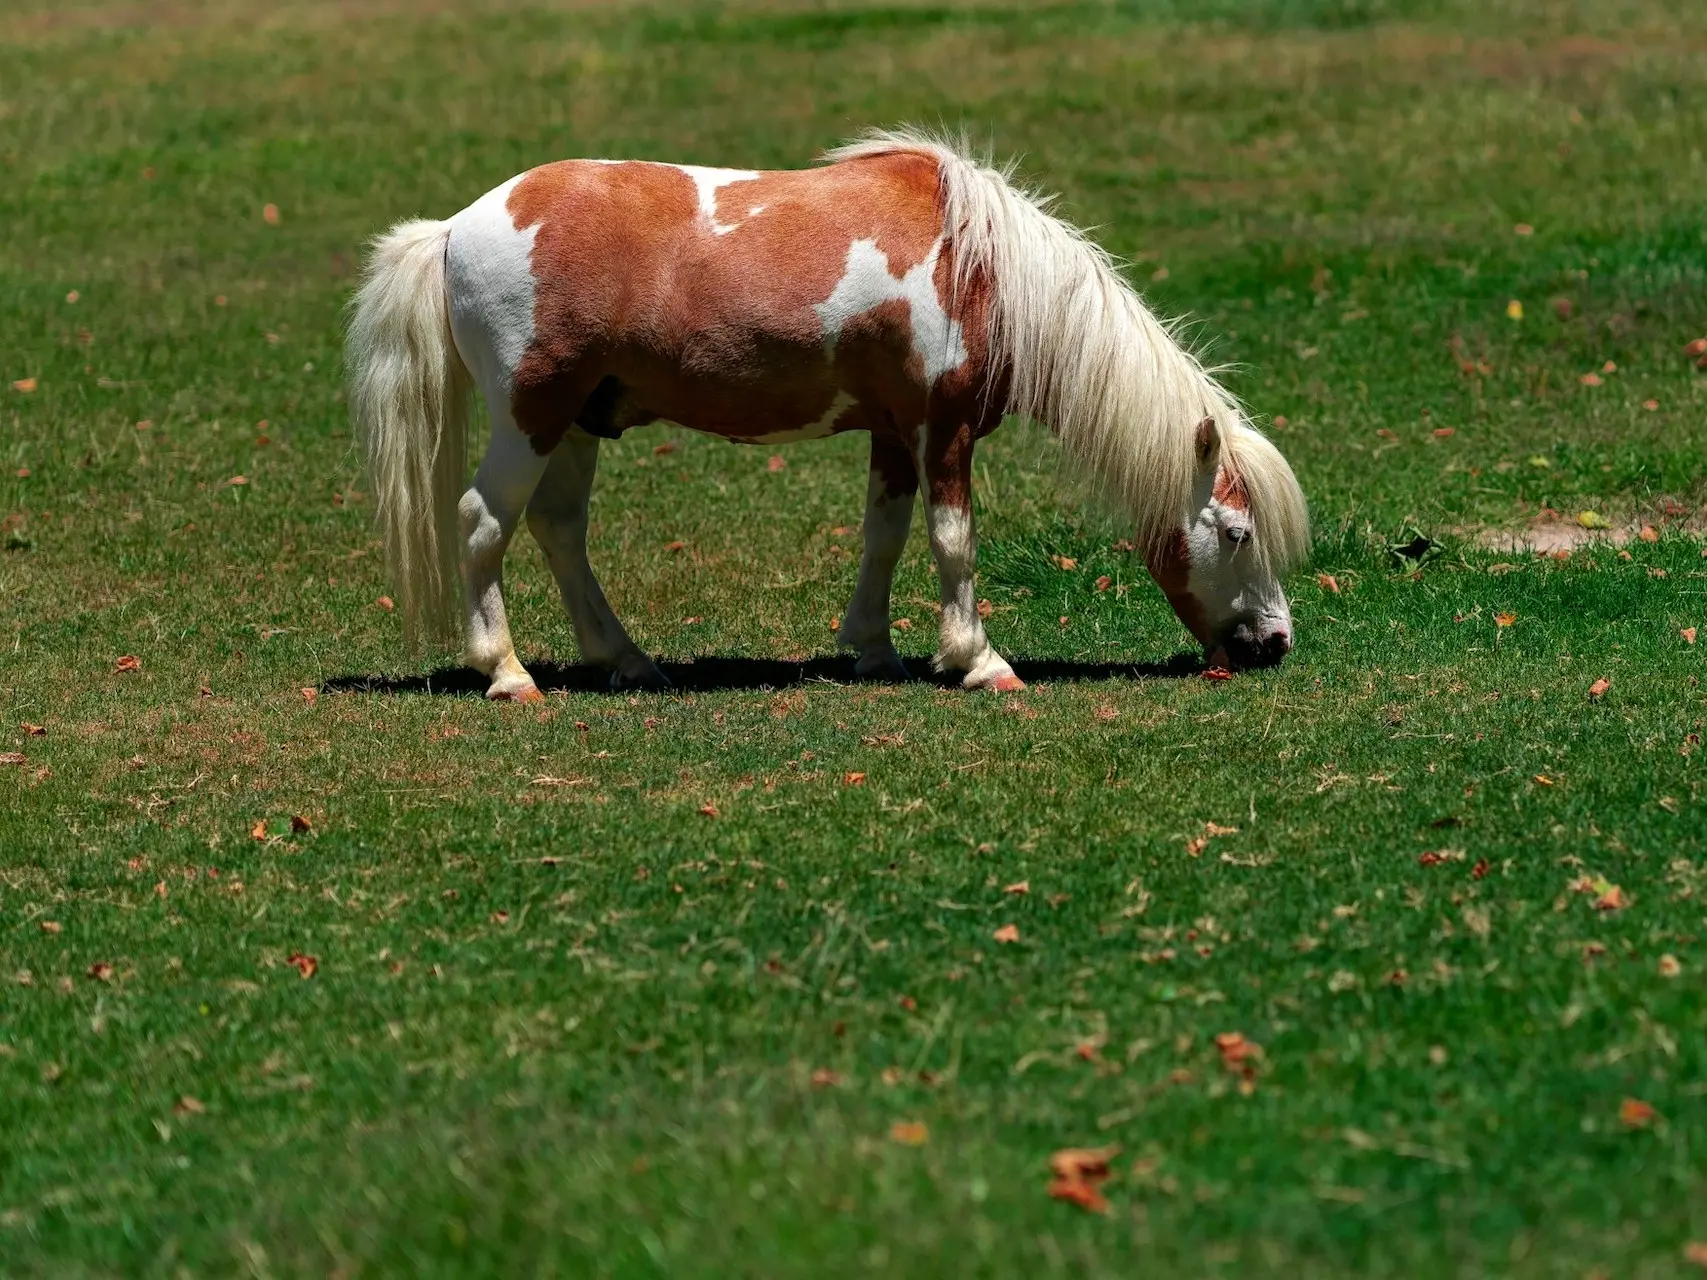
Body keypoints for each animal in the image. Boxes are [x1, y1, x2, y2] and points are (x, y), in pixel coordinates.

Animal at [343, 130, 1304, 703]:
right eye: (1235, 533)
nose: (1275, 642)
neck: (979, 267)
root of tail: (457, 228)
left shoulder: (893, 432)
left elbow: (883, 534)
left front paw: (874, 650)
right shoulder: (944, 429)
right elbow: (952, 540)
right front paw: (979, 660)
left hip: (579, 421)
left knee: (557, 528)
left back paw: (625, 660)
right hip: (530, 417)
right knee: (483, 523)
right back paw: (507, 675)